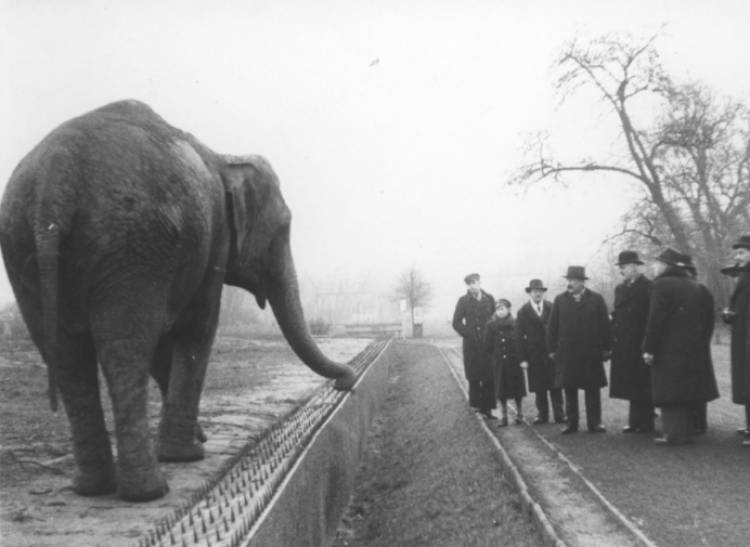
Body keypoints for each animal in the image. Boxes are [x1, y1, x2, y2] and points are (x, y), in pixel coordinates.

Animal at [0, 100, 356, 504]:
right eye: (283, 229)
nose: (345, 382)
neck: (225, 157)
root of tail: (56, 176)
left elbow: (164, 339)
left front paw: (193, 439)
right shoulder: (214, 237)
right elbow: (196, 327)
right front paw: (188, 454)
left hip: (24, 241)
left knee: (66, 355)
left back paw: (93, 488)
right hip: (133, 242)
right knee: (123, 348)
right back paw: (147, 491)